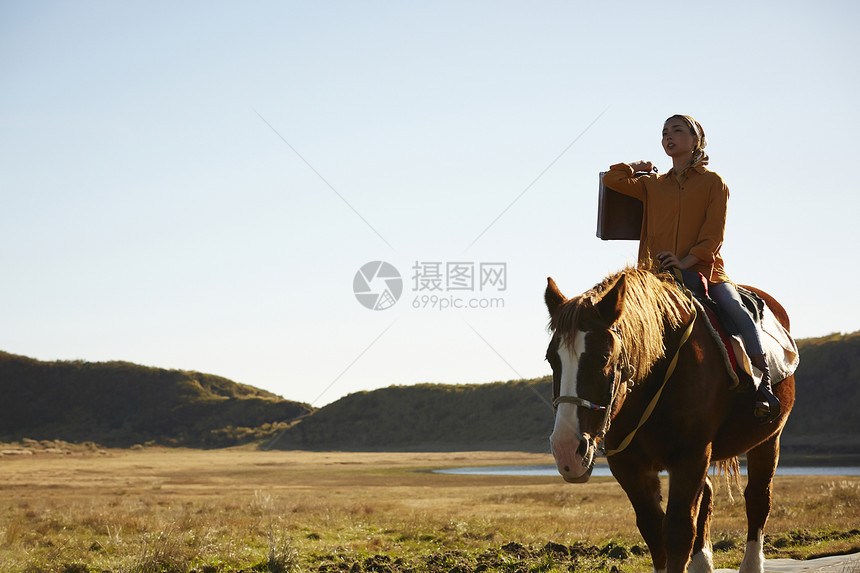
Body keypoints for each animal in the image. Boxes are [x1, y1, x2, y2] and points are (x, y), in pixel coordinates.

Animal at [544, 266, 792, 572]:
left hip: (768, 440)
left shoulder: (690, 456)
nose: (566, 450)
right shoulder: (629, 465)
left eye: (604, 357)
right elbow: (652, 528)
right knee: (708, 496)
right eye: (551, 359)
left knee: (758, 497)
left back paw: (751, 563)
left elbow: (678, 530)